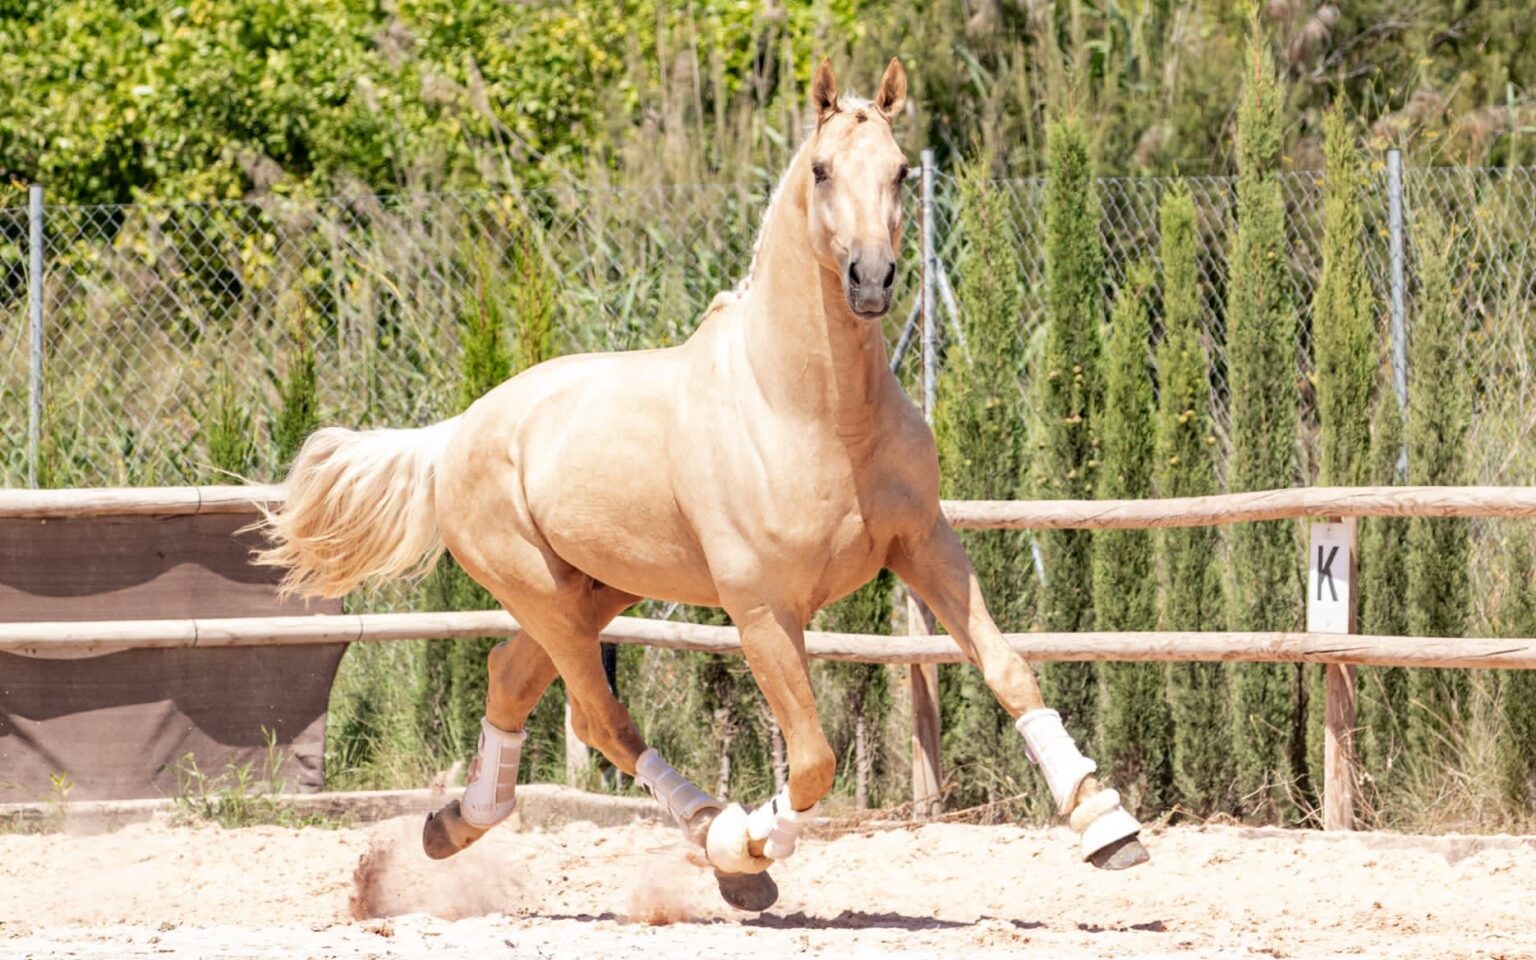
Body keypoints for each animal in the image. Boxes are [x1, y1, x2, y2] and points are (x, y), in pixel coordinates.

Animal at [257, 57, 1148, 912]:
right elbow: (814, 760)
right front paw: (748, 844)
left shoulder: (925, 544)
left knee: (512, 676)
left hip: (595, 589)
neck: (814, 412)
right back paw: (716, 841)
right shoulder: (763, 611)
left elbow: (1008, 668)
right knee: (600, 717)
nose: (871, 279)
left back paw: (457, 823)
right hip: (542, 592)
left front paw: (1108, 827)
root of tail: (457, 431)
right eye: (822, 169)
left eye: (901, 171)